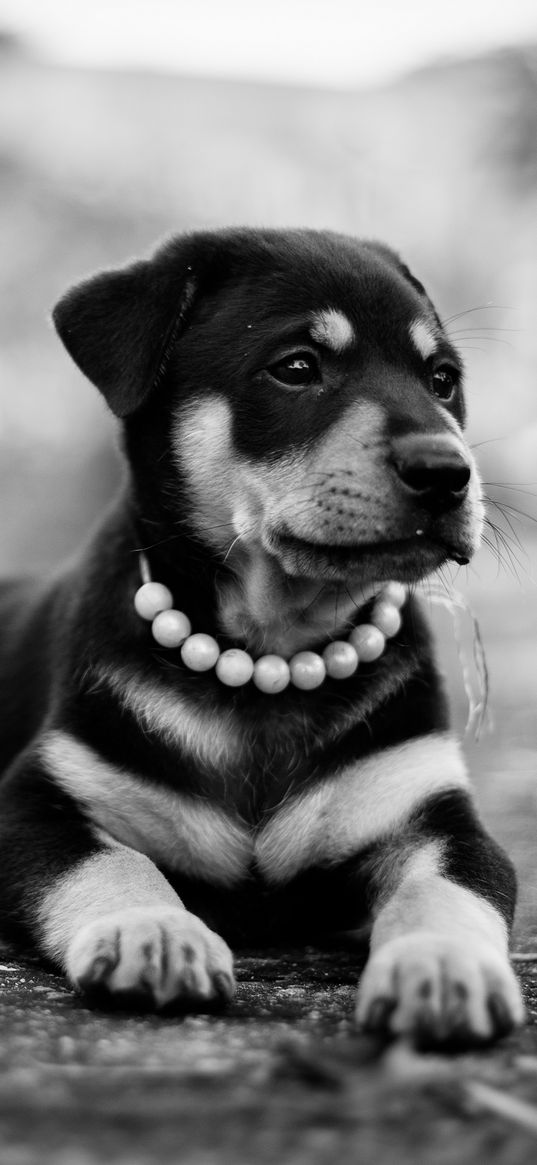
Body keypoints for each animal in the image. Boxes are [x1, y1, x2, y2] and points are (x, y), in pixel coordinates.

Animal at [0, 224, 524, 1039]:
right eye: (297, 368)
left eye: (442, 379)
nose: (447, 471)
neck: (270, 653)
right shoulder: (36, 801)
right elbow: (110, 862)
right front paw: (153, 931)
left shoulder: (434, 814)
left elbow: (444, 890)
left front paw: (439, 965)